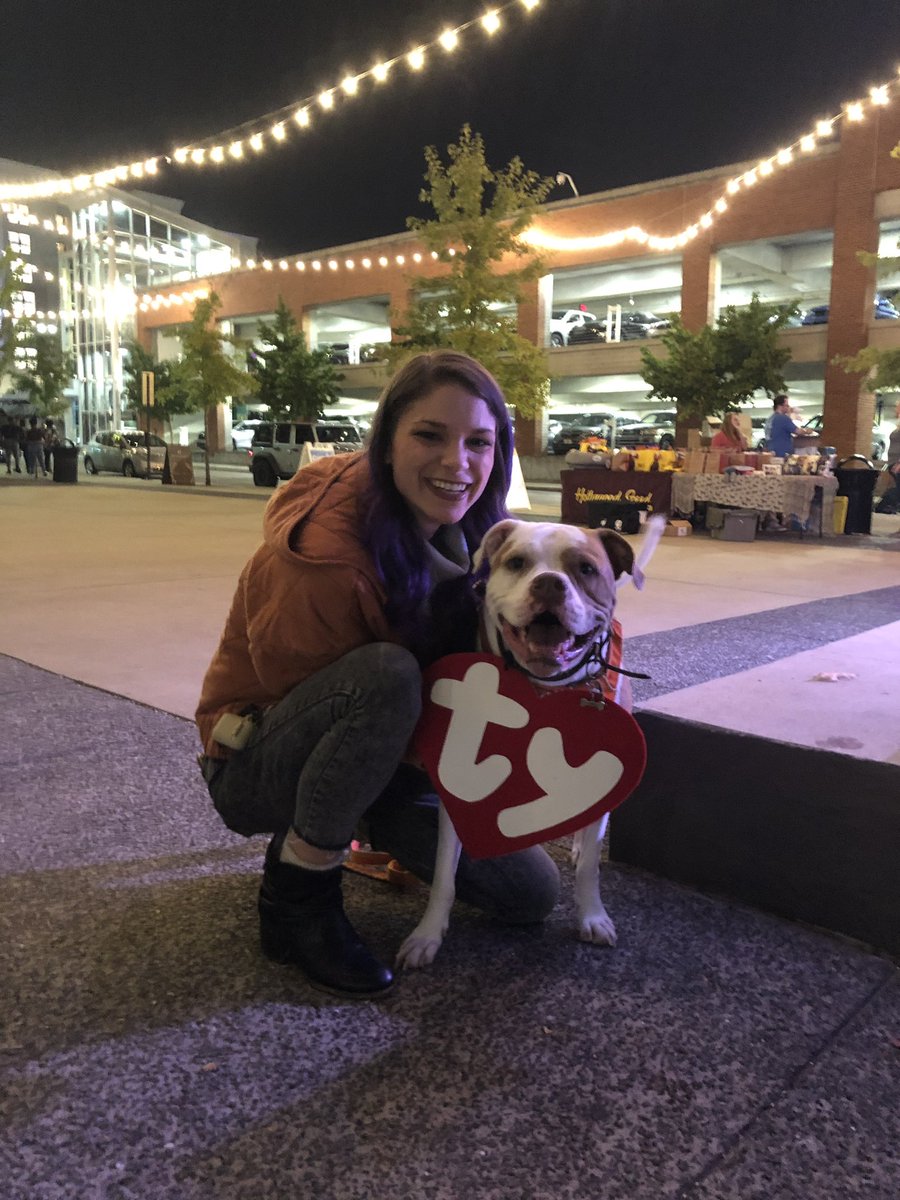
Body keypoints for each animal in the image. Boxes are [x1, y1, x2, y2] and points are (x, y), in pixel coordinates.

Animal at [398, 511, 667, 969]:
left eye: (586, 569)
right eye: (517, 563)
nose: (550, 583)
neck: (543, 689)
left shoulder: (604, 776)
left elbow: (590, 866)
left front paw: (592, 916)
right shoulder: (457, 791)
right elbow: (444, 873)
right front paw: (427, 934)